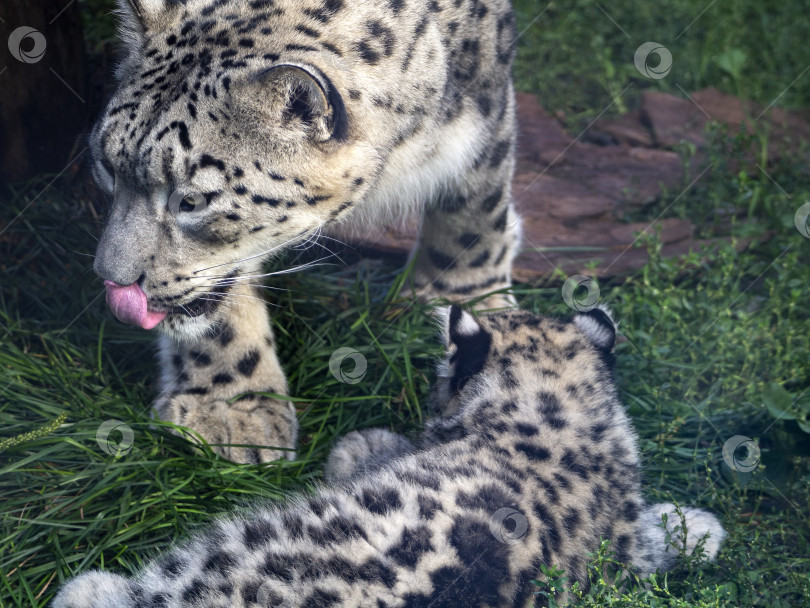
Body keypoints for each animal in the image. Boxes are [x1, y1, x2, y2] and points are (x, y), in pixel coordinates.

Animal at [91, 0, 520, 460]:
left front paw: (471, 299)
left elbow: (474, 211)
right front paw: (232, 409)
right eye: (107, 167)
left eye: (191, 202)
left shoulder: (487, 105)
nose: (111, 278)